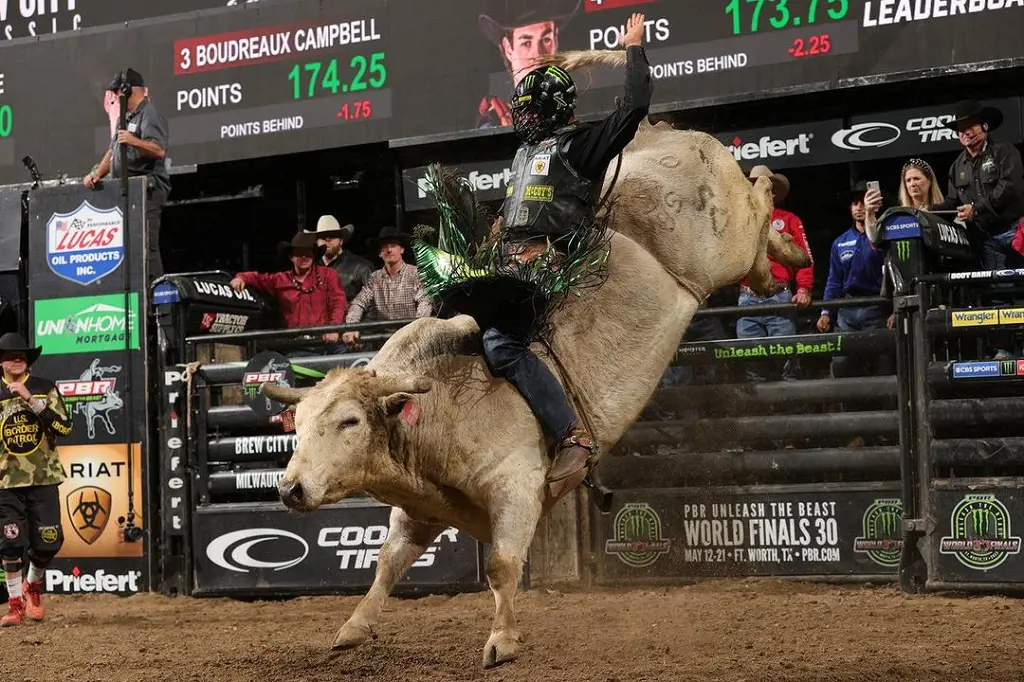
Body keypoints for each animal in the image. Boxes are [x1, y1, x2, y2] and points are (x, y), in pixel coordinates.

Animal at [260, 50, 811, 667]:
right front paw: (353, 629)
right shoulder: (419, 512)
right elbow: (386, 564)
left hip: (724, 237)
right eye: (297, 423)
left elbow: (503, 566)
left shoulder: (517, 487)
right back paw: (776, 263)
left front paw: (501, 640)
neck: (435, 414)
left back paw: (785, 240)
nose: (290, 489)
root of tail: (658, 136)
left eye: (350, 421)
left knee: (759, 199)